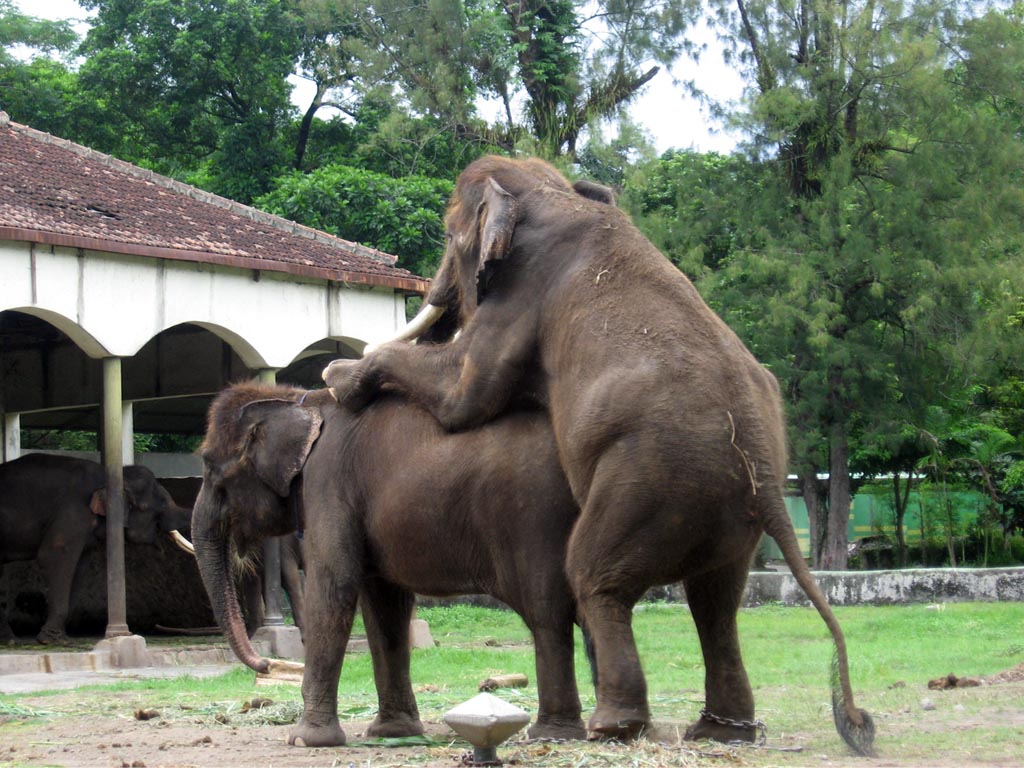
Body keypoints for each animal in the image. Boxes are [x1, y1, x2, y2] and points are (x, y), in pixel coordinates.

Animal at [0, 454, 193, 647]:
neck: (112, 478)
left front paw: (61, 636)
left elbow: (80, 568)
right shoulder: (74, 513)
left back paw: (9, 639)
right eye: (155, 506)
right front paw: (53, 640)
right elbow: (54, 556)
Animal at [191, 382, 589, 749]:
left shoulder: (328, 483)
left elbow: (333, 588)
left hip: (537, 519)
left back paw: (554, 735)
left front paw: (305, 740)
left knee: (547, 613)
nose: (265, 665)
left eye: (210, 466)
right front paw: (393, 732)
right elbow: (385, 605)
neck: (300, 400)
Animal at [323, 154, 876, 757]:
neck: (550, 194)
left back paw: (613, 728)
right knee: (715, 603)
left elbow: (464, 393)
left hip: (650, 481)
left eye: (449, 234)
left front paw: (338, 378)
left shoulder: (519, 297)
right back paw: (720, 732)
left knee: (593, 574)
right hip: (727, 514)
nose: (438, 295)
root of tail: (758, 453)